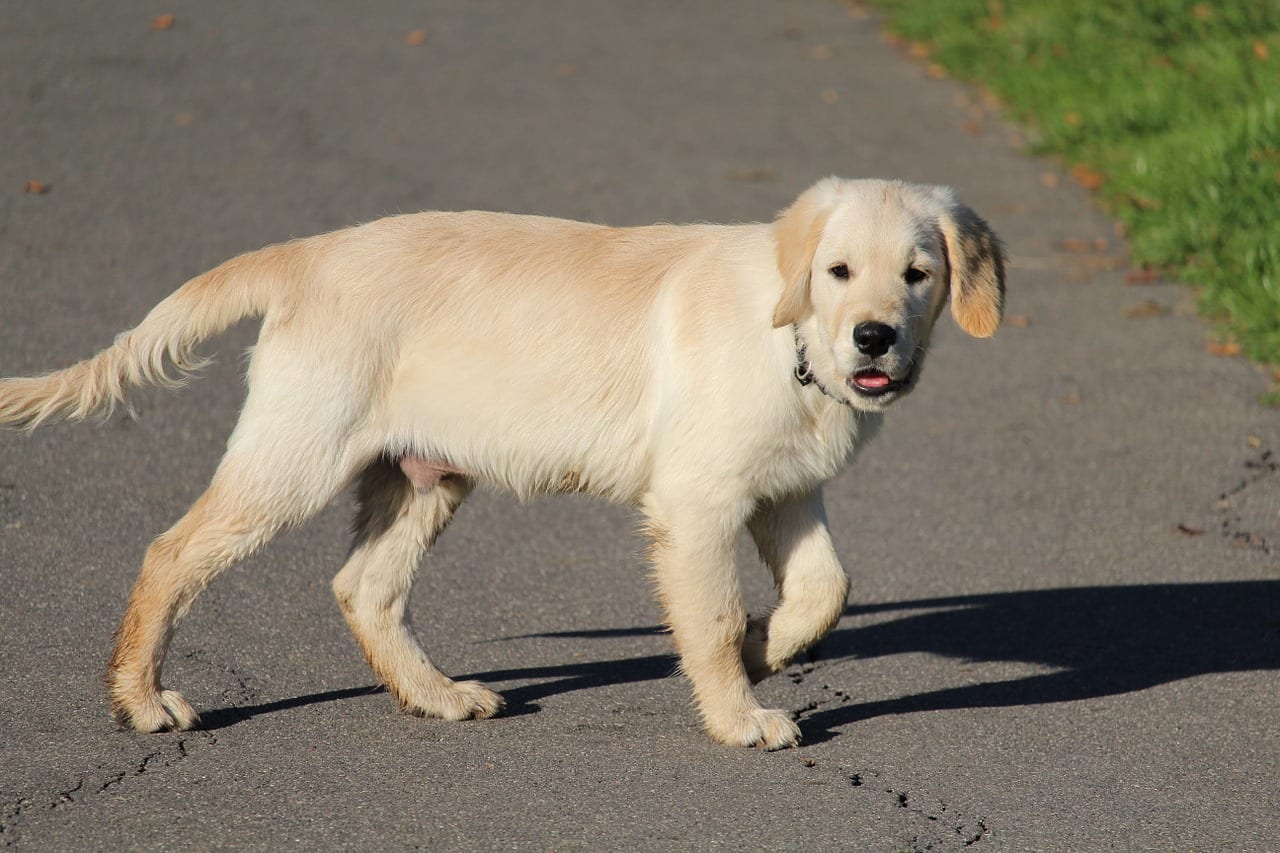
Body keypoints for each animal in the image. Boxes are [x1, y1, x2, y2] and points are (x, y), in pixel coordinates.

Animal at [0, 178, 998, 742]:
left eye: (918, 274)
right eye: (838, 271)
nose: (874, 340)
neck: (791, 338)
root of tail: (308, 254)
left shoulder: (785, 489)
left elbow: (827, 586)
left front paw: (768, 645)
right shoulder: (699, 500)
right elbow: (711, 617)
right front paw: (738, 714)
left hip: (424, 473)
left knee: (365, 586)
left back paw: (437, 696)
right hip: (297, 450)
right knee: (171, 553)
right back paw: (141, 700)